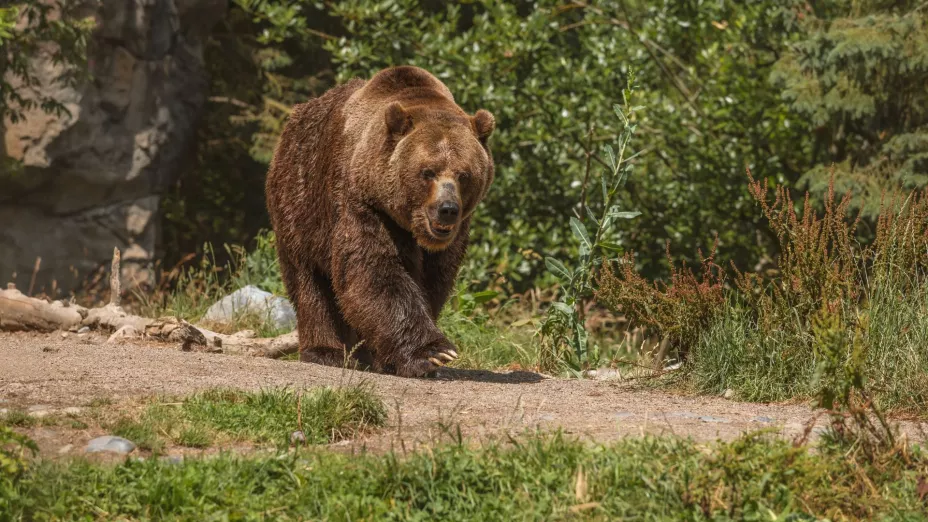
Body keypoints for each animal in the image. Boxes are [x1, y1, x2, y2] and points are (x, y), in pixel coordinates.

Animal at [265, 65, 495, 377]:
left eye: (464, 174)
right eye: (428, 172)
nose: (447, 209)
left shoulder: (449, 240)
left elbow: (433, 282)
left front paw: (395, 357)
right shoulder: (364, 204)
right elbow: (374, 271)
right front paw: (433, 352)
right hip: (300, 201)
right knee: (309, 280)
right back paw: (325, 351)